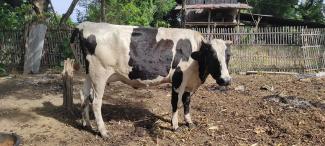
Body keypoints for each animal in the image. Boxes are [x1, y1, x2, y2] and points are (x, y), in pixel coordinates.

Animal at [70, 21, 232, 138]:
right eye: (212, 56)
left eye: (228, 56)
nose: (226, 80)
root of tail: (86, 24)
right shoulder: (178, 79)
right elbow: (175, 103)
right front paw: (175, 125)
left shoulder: (189, 83)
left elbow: (186, 102)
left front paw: (189, 122)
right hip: (99, 74)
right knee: (96, 102)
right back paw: (103, 132)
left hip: (89, 73)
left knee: (84, 95)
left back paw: (86, 124)